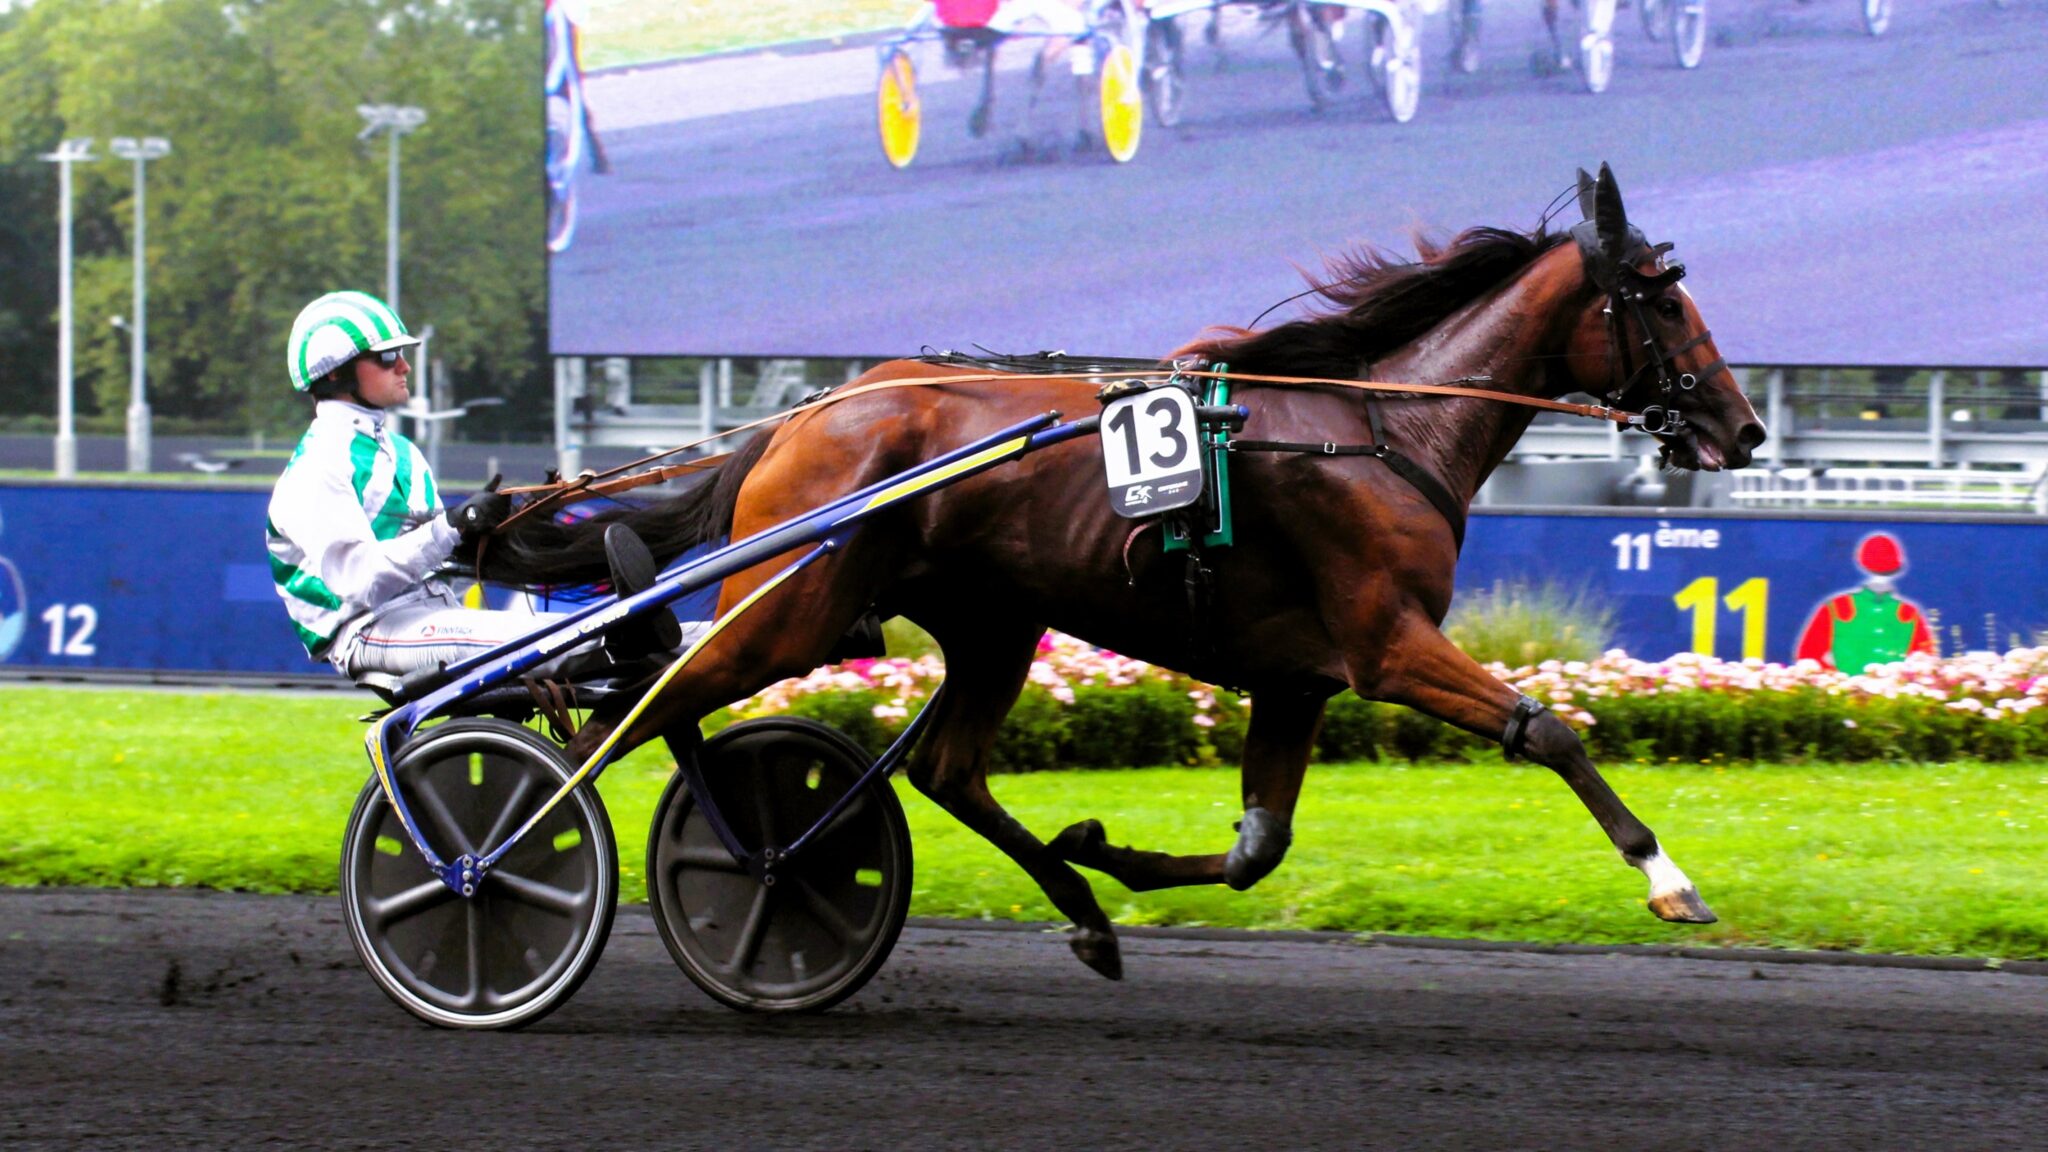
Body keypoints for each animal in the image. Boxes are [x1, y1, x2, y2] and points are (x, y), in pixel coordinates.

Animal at [487, 164, 1767, 979]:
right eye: (1661, 300)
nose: (1743, 429)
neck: (1380, 429)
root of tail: (803, 418)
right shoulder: (1385, 645)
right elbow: (1544, 731)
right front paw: (1667, 880)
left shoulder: (1298, 677)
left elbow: (1256, 851)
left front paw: (1106, 850)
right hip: (794, 609)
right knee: (625, 718)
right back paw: (513, 860)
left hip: (987, 625)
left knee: (940, 771)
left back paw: (1067, 910)